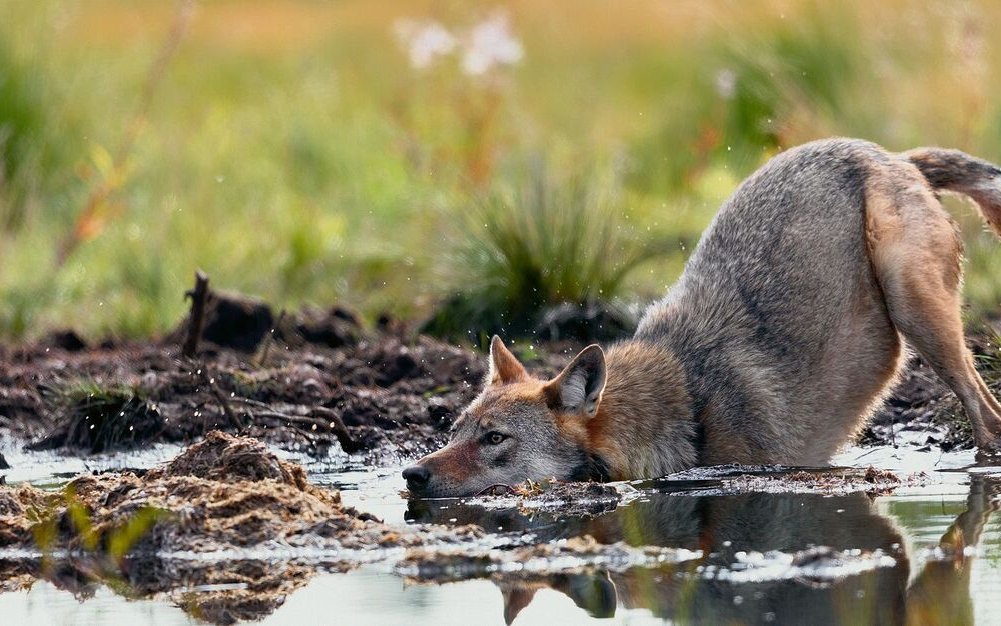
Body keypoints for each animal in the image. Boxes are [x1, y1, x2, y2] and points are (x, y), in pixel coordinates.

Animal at [404, 138, 1001, 498]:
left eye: (494, 439)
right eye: (454, 431)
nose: (411, 474)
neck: (687, 403)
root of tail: (893, 154)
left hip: (917, 313)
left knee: (986, 414)